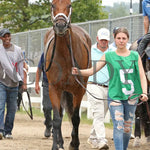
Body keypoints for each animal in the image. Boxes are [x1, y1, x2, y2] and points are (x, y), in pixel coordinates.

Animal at [44, 0, 91, 149]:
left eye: (69, 5)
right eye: (52, 5)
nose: (60, 25)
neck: (64, 56)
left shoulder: (79, 90)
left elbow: (75, 118)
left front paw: (74, 144)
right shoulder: (54, 89)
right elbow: (56, 118)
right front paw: (55, 145)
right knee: (59, 113)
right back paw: (59, 142)